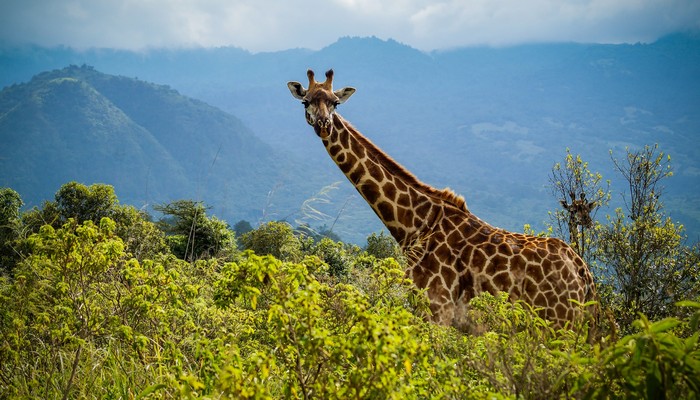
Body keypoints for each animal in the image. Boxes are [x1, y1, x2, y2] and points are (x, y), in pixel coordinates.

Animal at [284, 69, 596, 332]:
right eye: (306, 102)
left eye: (336, 103)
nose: (324, 125)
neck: (415, 225)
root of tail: (583, 273)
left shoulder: (439, 309)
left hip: (558, 323)